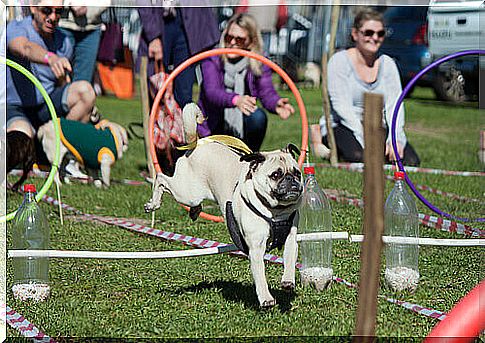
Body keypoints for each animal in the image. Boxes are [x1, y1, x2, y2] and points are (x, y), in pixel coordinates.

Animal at [144, 103, 302, 310]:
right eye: (276, 175)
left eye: (297, 173)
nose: (292, 180)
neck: (276, 211)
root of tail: (197, 144)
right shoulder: (256, 248)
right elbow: (260, 277)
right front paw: (266, 298)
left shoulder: (290, 239)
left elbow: (290, 260)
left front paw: (288, 281)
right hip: (187, 192)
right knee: (161, 179)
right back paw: (153, 203)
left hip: (193, 194)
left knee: (190, 200)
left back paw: (195, 212)